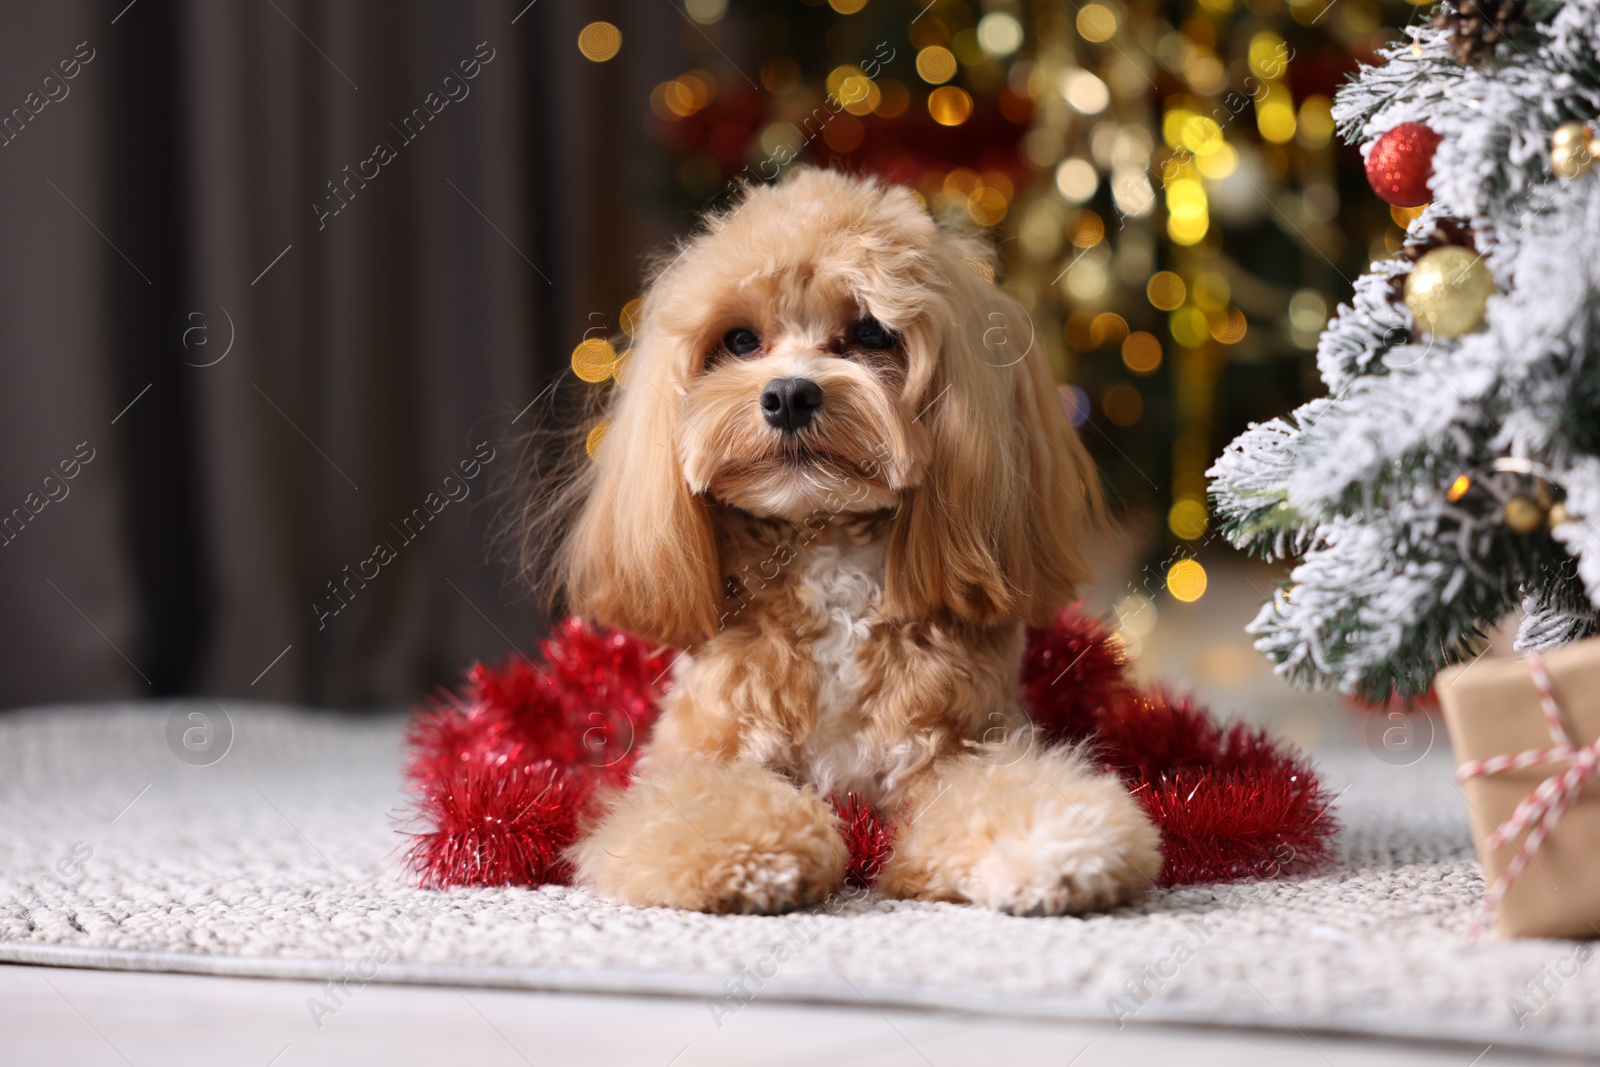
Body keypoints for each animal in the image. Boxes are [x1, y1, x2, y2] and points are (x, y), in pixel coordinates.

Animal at [544, 168, 1158, 921]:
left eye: (870, 333)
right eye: (740, 341)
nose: (788, 396)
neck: (827, 547)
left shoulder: (961, 746)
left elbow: (1006, 789)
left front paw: (1055, 845)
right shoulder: (701, 752)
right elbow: (707, 799)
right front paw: (751, 853)